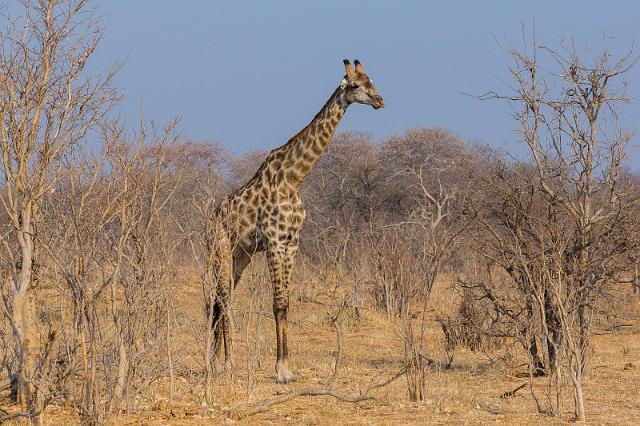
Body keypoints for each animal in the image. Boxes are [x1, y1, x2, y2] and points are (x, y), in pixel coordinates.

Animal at [208, 59, 382, 382]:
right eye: (355, 85)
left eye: (372, 81)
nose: (379, 100)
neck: (294, 178)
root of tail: (211, 218)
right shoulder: (275, 242)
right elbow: (279, 304)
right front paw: (281, 371)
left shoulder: (291, 243)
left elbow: (286, 304)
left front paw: (288, 367)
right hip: (220, 250)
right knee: (222, 300)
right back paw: (225, 365)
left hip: (241, 255)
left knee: (219, 299)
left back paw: (214, 362)